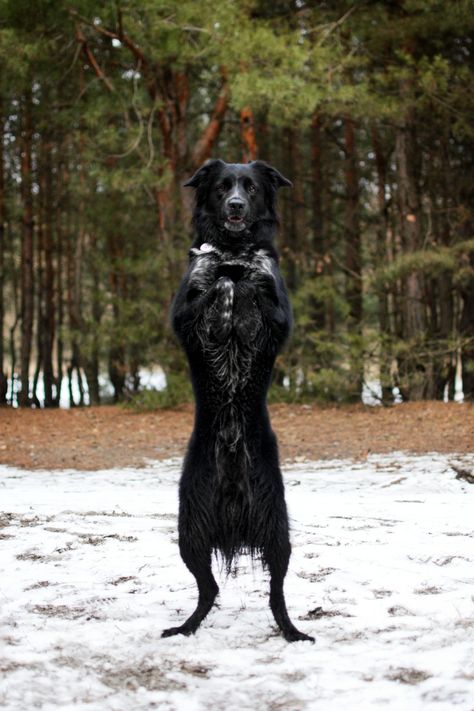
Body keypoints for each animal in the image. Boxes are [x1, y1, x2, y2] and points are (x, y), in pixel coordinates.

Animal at [163, 160, 314, 644]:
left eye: (250, 187)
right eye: (221, 187)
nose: (235, 206)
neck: (232, 250)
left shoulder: (278, 317)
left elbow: (252, 291)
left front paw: (240, 288)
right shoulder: (184, 318)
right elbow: (212, 291)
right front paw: (224, 287)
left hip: (278, 533)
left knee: (275, 593)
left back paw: (293, 632)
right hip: (189, 534)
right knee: (208, 590)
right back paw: (185, 628)